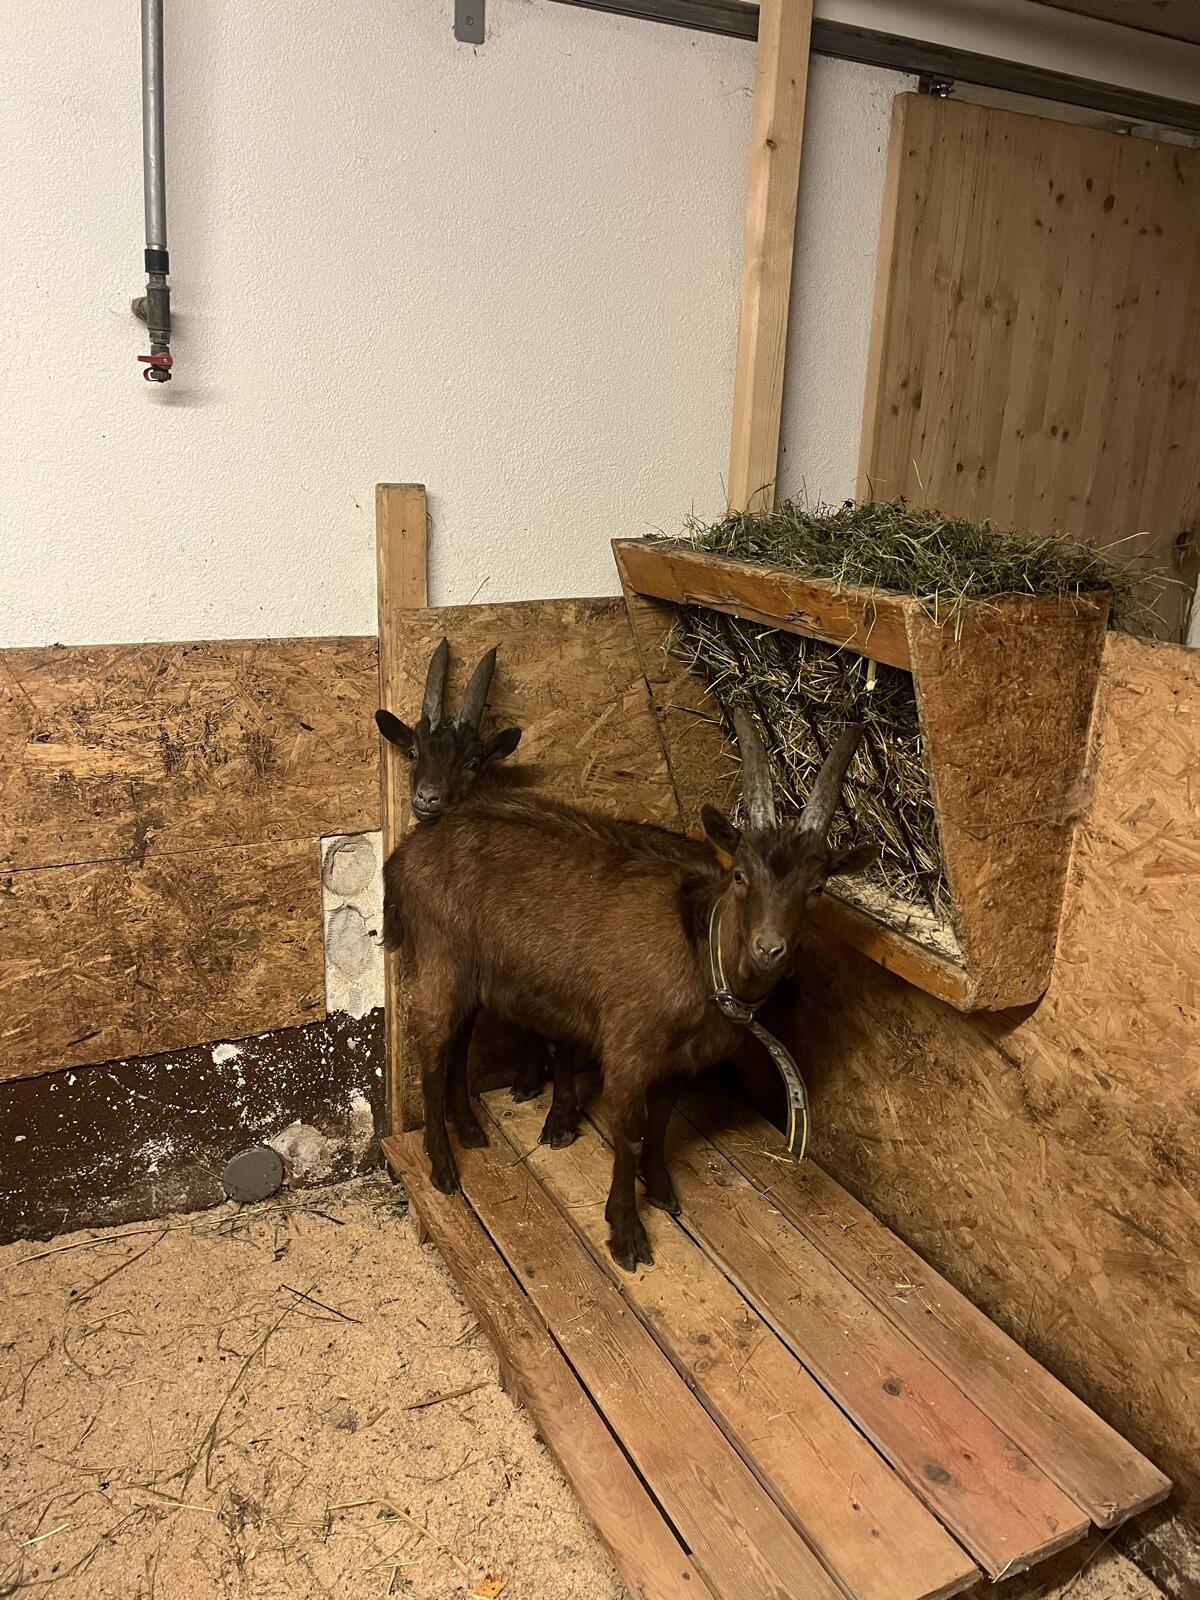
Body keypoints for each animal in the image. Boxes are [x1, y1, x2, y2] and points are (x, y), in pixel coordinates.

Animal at [385, 710, 866, 1271]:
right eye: (741, 876)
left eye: (817, 888)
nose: (770, 949)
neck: (698, 948)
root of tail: (405, 854)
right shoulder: (629, 1047)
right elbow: (630, 1131)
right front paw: (627, 1233)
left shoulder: (680, 1060)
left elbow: (659, 1125)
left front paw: (660, 1190)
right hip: (441, 957)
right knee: (432, 1051)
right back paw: (442, 1167)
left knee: (456, 1043)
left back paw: (470, 1131)